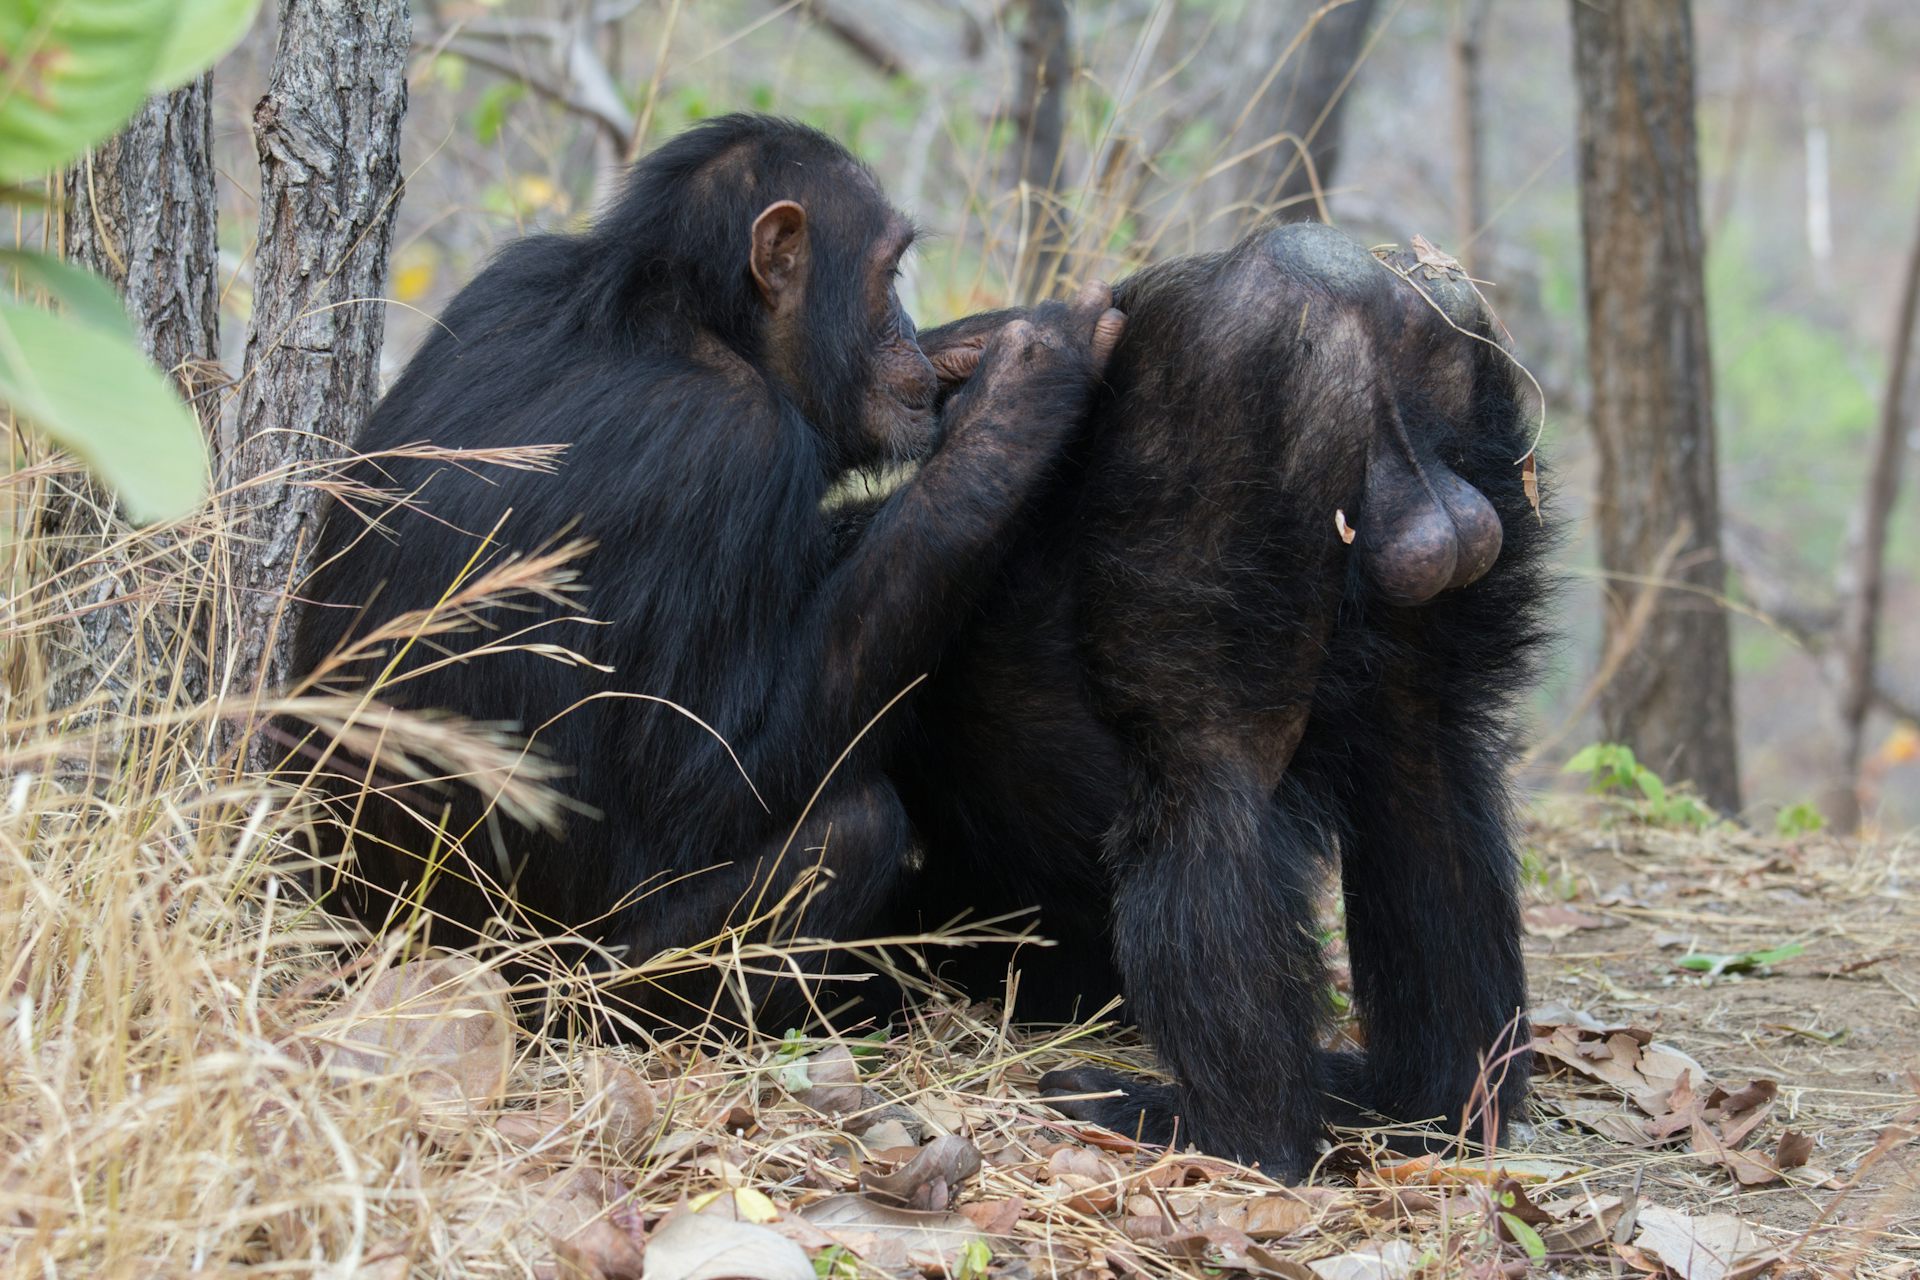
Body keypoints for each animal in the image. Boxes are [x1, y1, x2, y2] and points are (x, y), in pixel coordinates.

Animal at [286, 115, 1121, 1028]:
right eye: (891, 273)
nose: (908, 325)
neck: (697, 323)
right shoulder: (735, 449)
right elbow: (706, 785)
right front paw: (1020, 392)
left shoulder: (502, 282)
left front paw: (978, 347)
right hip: (575, 993)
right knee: (852, 829)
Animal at [890, 222, 1551, 1182]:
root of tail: (1357, 287)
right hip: (1475, 402)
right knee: (1424, 760)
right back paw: (1438, 1098)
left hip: (1241, 407)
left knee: (1203, 772)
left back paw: (1222, 1130)